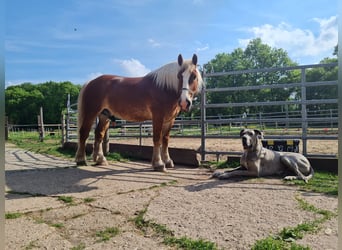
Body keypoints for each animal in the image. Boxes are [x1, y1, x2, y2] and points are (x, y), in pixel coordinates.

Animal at [75, 54, 203, 172]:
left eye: (194, 76)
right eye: (179, 76)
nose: (184, 102)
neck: (165, 88)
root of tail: (90, 82)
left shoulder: (170, 119)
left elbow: (165, 139)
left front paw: (168, 161)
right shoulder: (158, 117)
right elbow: (157, 139)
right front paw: (158, 164)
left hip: (104, 115)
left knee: (99, 134)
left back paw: (100, 159)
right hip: (91, 113)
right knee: (84, 133)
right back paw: (81, 159)